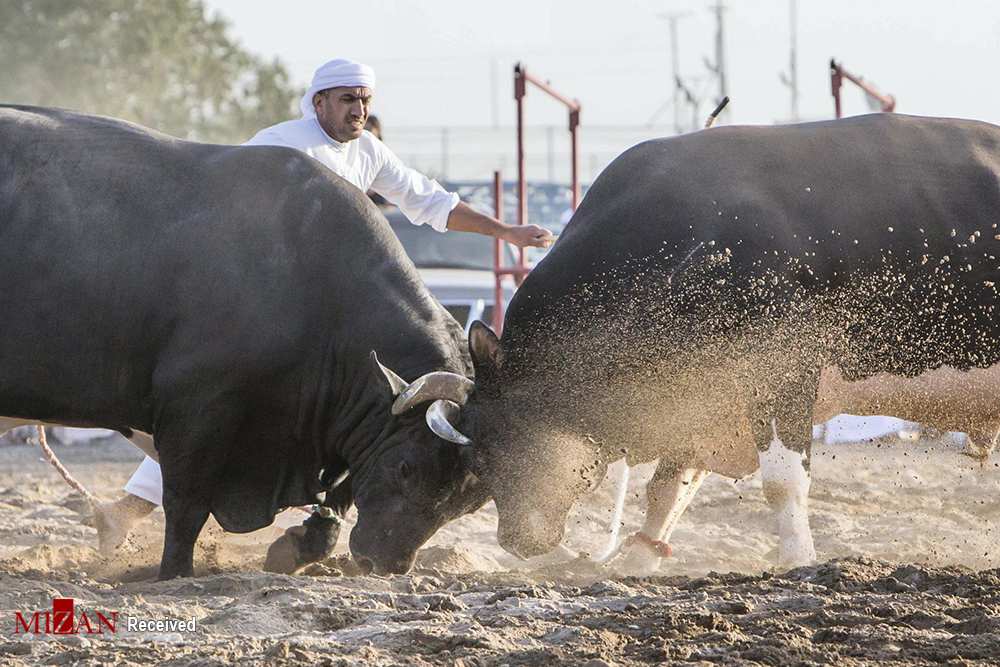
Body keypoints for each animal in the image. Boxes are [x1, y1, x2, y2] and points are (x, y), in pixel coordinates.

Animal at [0, 107, 484, 580]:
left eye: (463, 502)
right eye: (406, 467)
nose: (386, 564)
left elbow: (337, 498)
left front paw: (299, 546)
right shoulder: (196, 410)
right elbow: (186, 504)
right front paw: (175, 572)